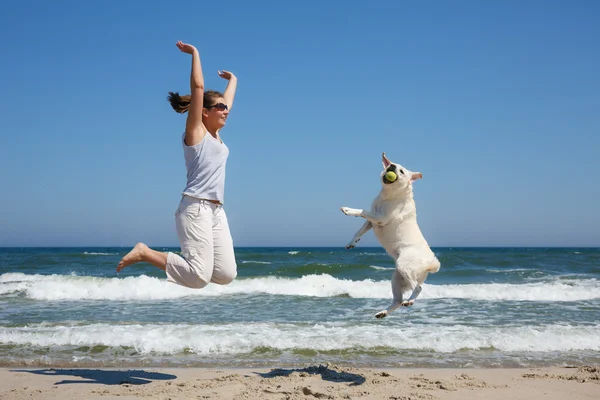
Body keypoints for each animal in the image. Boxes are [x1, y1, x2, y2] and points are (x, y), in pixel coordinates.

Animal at [342, 153, 440, 318]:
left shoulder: (379, 218)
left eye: (401, 171)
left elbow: (362, 211)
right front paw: (352, 242)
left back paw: (410, 301)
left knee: (418, 288)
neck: (389, 195)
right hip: (397, 278)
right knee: (398, 300)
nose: (391, 166)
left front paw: (348, 210)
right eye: (391, 164)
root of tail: (432, 263)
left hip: (404, 266)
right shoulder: (372, 222)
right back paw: (383, 312)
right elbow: (360, 230)